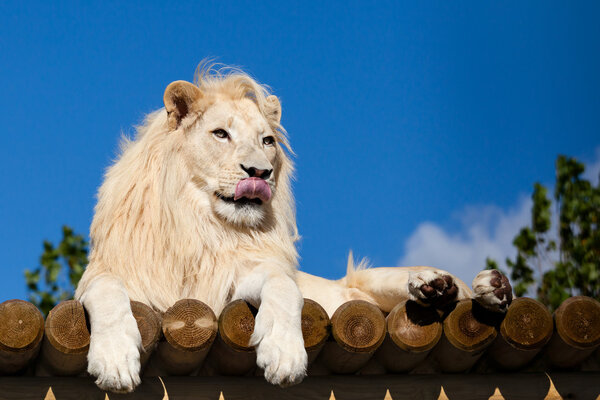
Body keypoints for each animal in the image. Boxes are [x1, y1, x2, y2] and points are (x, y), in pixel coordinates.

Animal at [75, 64, 510, 392]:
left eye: (267, 141)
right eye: (220, 134)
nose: (260, 173)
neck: (202, 227)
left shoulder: (244, 276)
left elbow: (283, 287)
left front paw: (284, 355)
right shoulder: (101, 279)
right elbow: (109, 293)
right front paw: (114, 361)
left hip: (365, 282)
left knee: (456, 290)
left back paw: (466, 285)